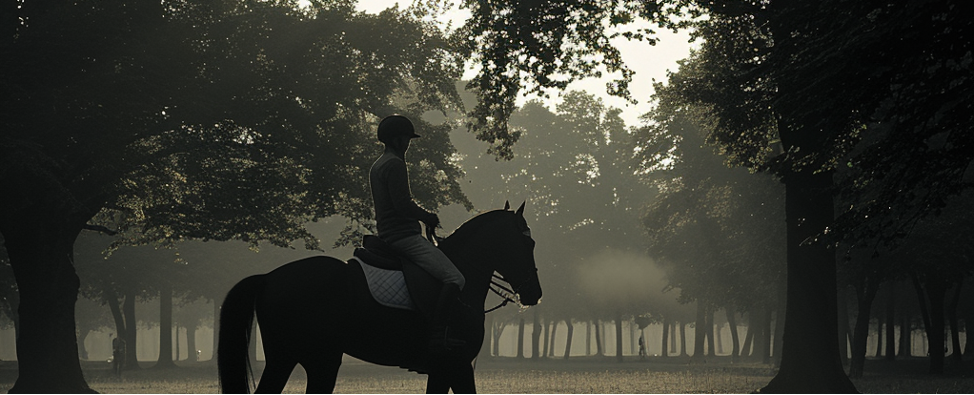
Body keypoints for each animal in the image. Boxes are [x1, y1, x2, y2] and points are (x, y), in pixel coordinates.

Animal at [216, 203, 544, 394]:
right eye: (528, 243)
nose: (535, 294)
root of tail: (269, 277)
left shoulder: (442, 370)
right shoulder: (459, 365)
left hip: (286, 358)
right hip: (321, 362)